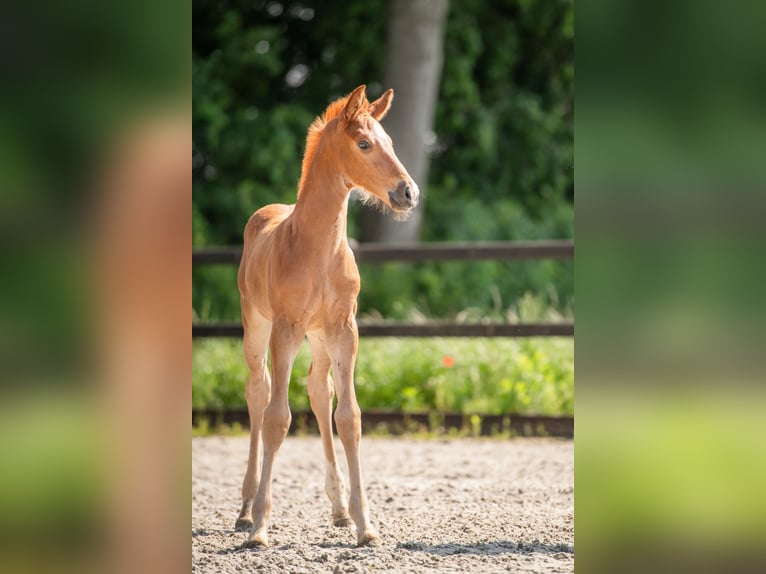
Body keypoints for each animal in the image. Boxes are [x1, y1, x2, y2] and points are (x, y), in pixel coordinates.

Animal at [238, 85, 424, 548]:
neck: (317, 249)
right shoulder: (285, 329)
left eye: (390, 142)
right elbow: (277, 418)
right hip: (256, 327)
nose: (408, 193)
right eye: (364, 144)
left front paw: (365, 525)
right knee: (258, 392)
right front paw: (262, 527)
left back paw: (338, 508)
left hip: (320, 337)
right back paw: (246, 509)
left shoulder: (345, 329)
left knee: (319, 392)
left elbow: (349, 417)